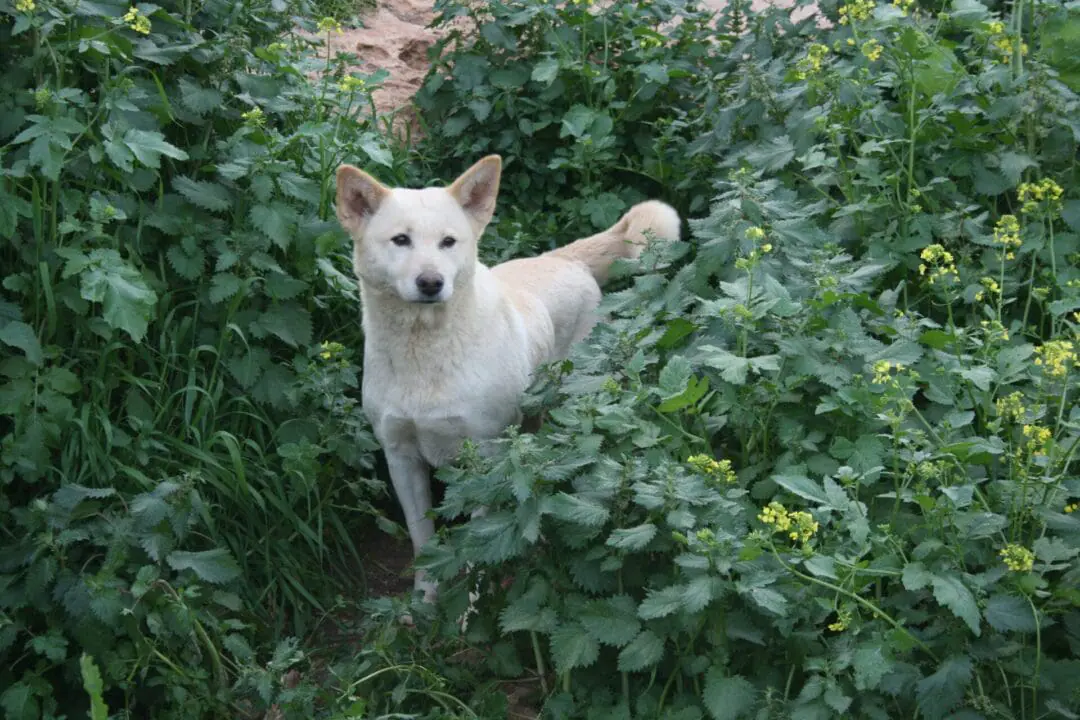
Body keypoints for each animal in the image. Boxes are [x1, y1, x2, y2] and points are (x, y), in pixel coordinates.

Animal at [332, 156, 678, 604]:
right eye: (400, 240)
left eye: (448, 242)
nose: (431, 283)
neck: (425, 353)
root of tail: (564, 257)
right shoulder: (401, 457)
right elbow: (422, 540)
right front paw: (424, 602)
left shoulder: (488, 457)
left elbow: (477, 546)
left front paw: (471, 605)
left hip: (571, 407)